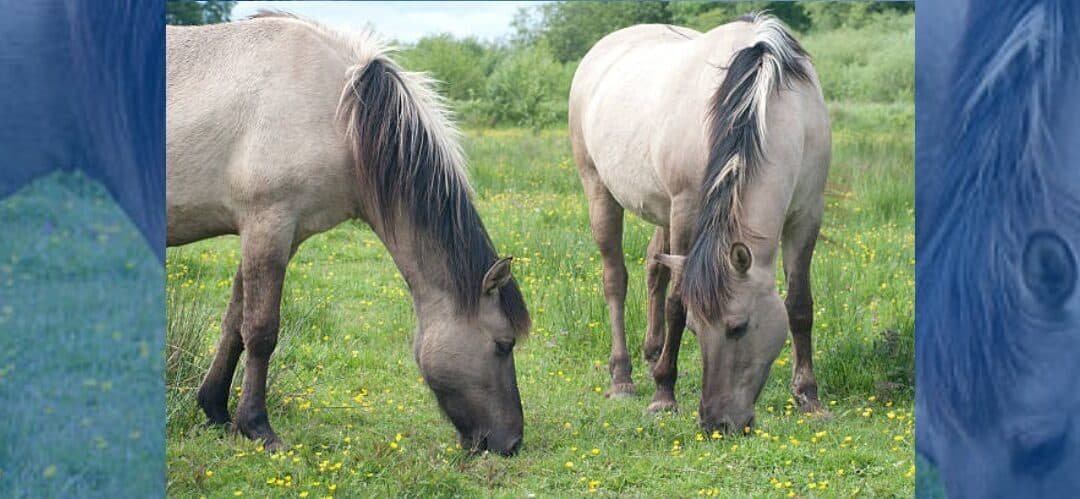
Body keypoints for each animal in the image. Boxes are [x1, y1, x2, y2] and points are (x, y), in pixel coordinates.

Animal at [166, 12, 530, 455]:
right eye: (503, 344)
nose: (512, 442)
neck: (341, 114)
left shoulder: (278, 236)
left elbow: (234, 324)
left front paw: (217, 409)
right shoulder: (268, 224)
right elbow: (261, 331)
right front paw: (257, 427)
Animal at [569, 13, 830, 433]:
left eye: (738, 327)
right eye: (695, 328)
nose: (715, 423)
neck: (767, 101)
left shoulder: (807, 214)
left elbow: (799, 305)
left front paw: (809, 396)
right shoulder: (688, 208)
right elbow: (677, 300)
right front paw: (663, 395)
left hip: (662, 209)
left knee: (654, 266)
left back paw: (652, 350)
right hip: (600, 189)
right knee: (615, 280)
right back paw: (623, 377)